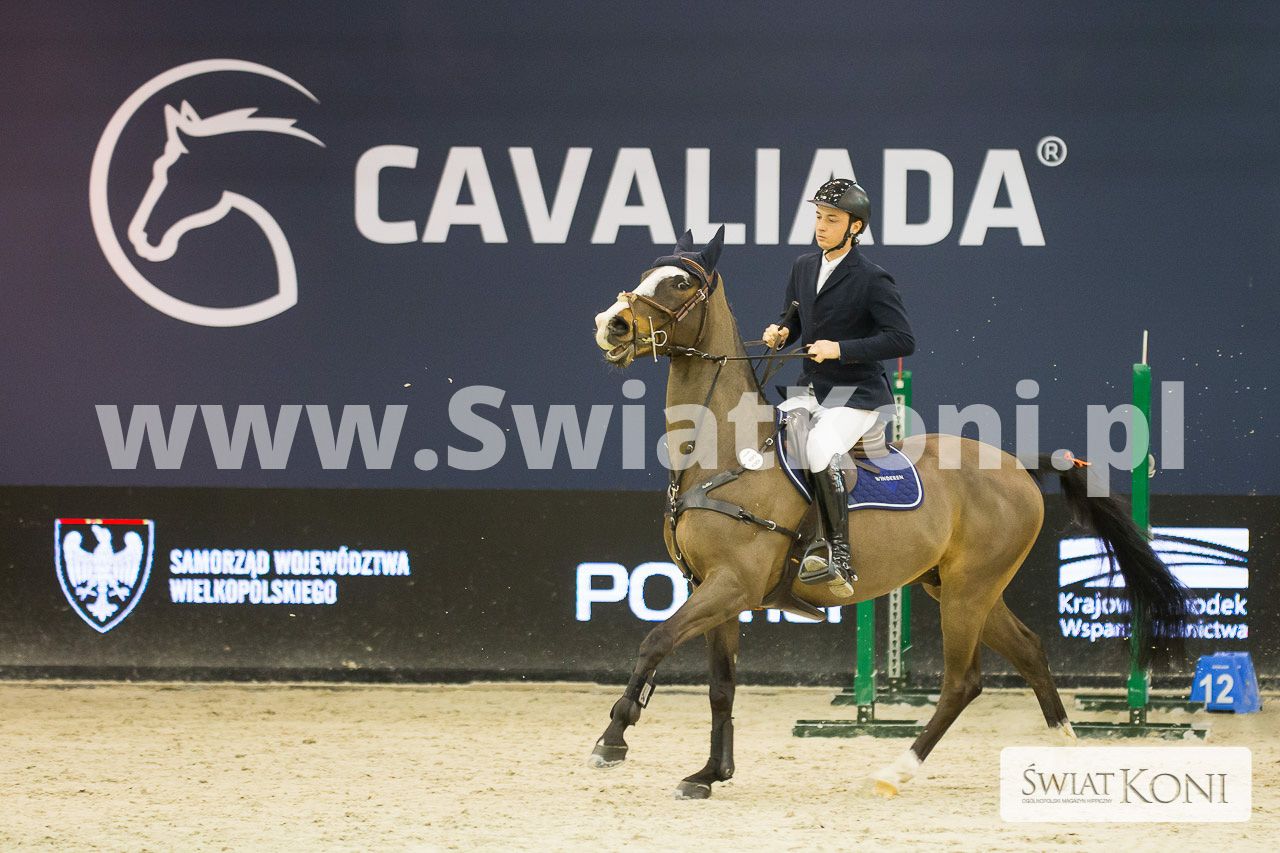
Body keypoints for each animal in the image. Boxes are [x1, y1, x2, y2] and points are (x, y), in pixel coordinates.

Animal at [588, 227, 1189, 799]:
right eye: (645, 276)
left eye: (679, 284)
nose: (610, 325)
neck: (724, 452)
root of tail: (1016, 466)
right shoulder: (715, 590)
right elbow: (720, 686)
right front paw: (710, 774)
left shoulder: (731, 584)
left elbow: (655, 641)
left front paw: (614, 736)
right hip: (958, 586)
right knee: (1030, 651)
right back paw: (1063, 750)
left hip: (969, 591)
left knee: (962, 682)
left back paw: (896, 771)